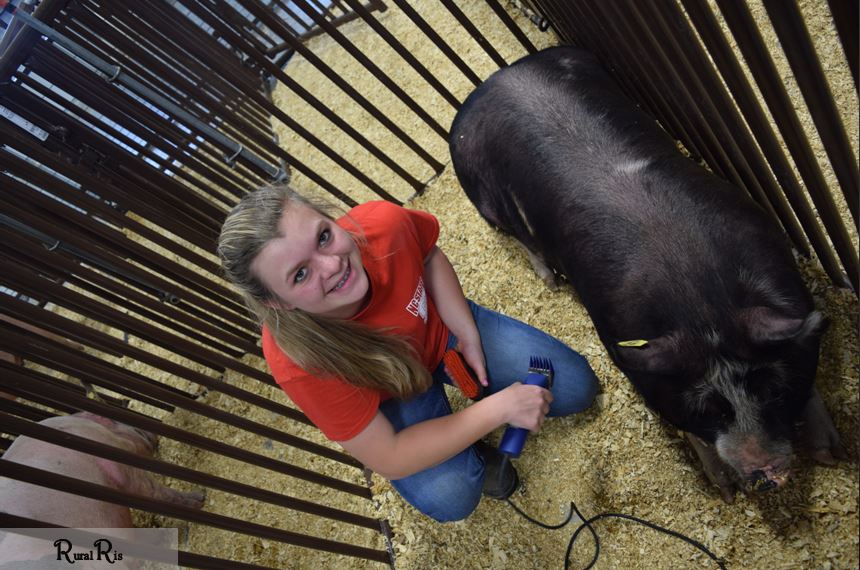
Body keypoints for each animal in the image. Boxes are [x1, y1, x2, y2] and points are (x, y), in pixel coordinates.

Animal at [449, 46, 845, 502]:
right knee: (522, 238)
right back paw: (550, 279)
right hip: (487, 202)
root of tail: (487, 84)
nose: (763, 468)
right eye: (708, 409)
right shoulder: (624, 348)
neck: (701, 303)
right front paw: (726, 491)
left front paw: (831, 454)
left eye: (771, 390)